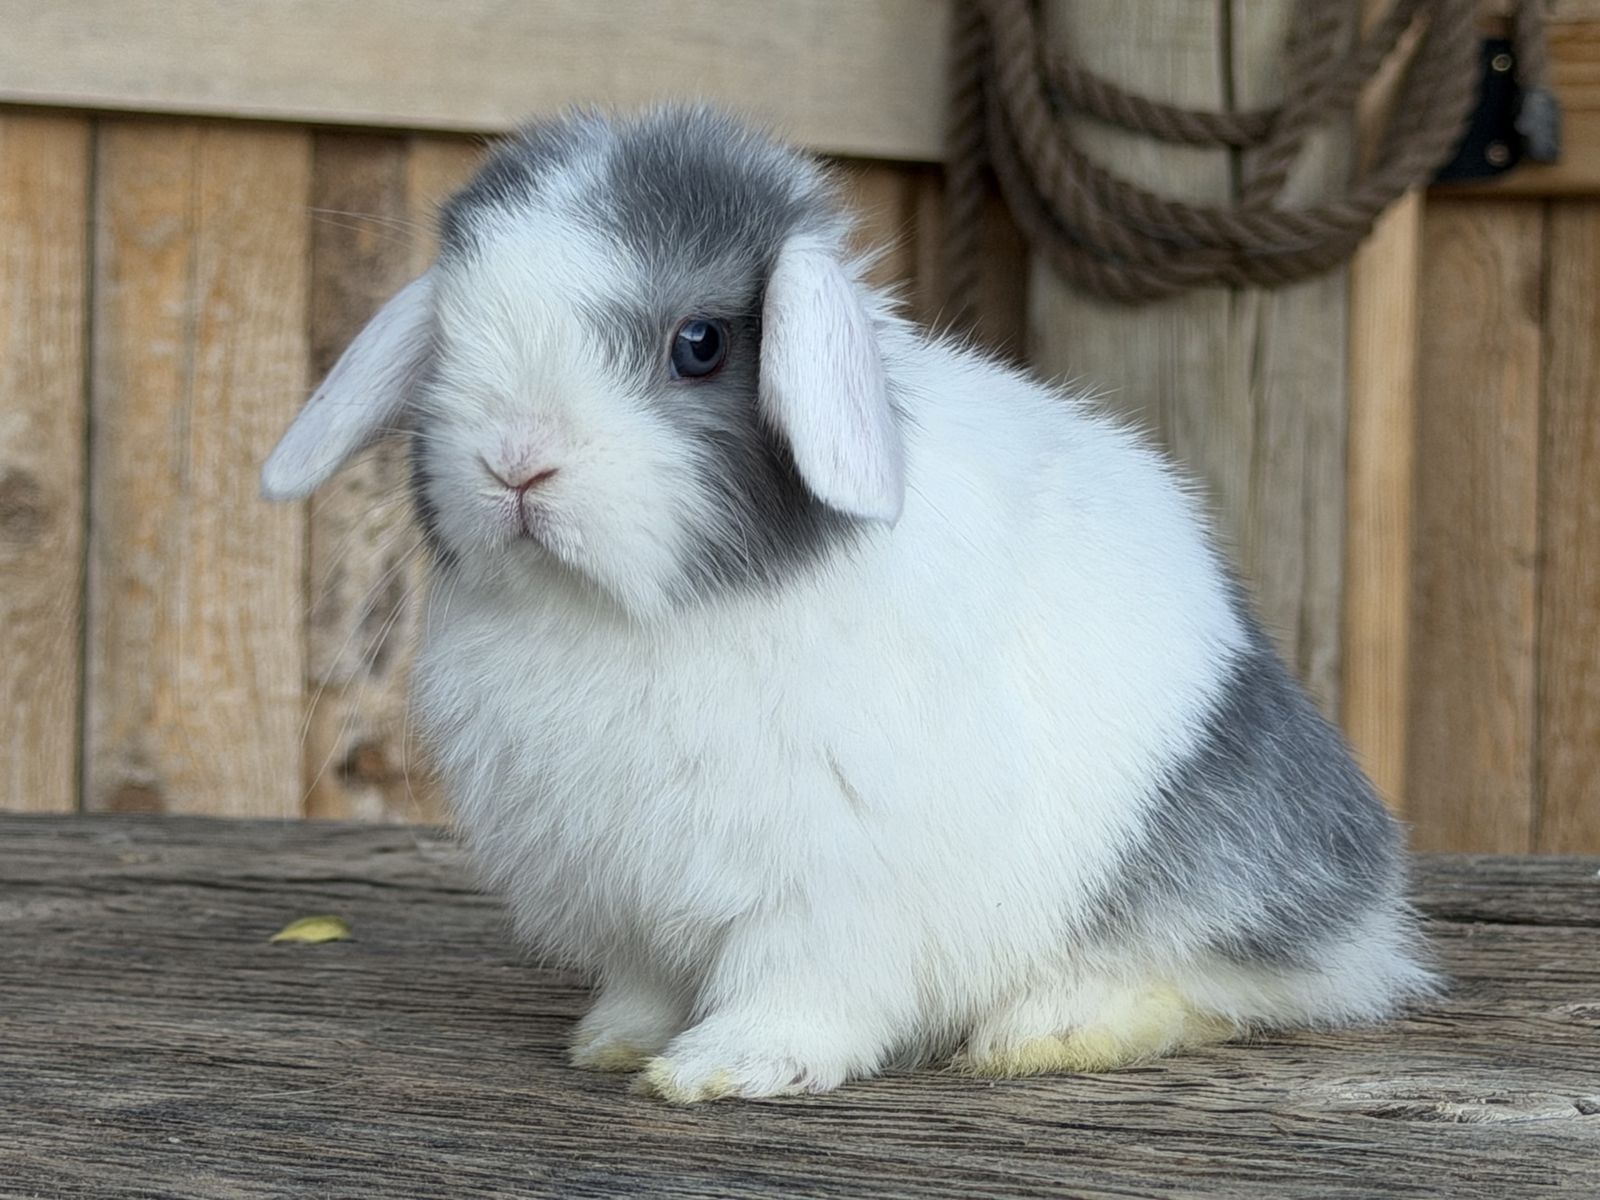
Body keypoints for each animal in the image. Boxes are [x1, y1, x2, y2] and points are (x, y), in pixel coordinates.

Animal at [261, 105, 1436, 1102]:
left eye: (700, 344)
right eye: (453, 334)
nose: (515, 462)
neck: (636, 616)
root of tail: (1369, 903)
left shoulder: (829, 892)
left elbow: (799, 990)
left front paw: (724, 1069)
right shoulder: (626, 896)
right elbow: (646, 984)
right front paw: (618, 1043)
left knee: (1217, 984)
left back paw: (1048, 1033)